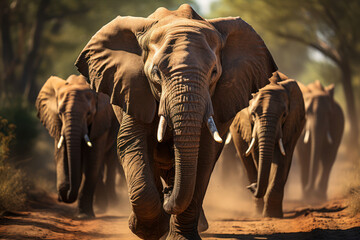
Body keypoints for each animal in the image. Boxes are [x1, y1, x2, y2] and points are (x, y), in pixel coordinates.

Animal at [35, 74, 119, 218]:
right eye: (60, 113)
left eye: (89, 114)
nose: (60, 197)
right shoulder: (57, 123)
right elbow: (61, 155)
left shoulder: (100, 120)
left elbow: (92, 161)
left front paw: (84, 216)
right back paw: (101, 207)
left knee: (108, 160)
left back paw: (111, 205)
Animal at [74, 4, 278, 239]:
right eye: (155, 73)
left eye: (214, 72)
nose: (167, 193)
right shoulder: (134, 89)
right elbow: (132, 142)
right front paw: (147, 230)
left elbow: (205, 154)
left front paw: (178, 235)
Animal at [229, 72, 306, 218]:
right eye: (253, 114)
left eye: (284, 115)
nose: (252, 186)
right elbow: (258, 156)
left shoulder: (292, 124)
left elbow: (282, 160)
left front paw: (273, 215)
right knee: (247, 162)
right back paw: (257, 212)